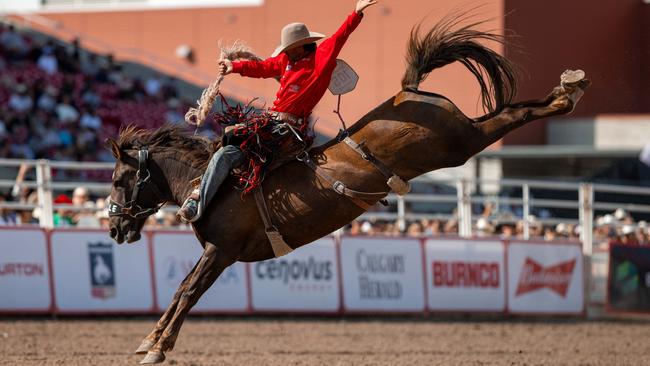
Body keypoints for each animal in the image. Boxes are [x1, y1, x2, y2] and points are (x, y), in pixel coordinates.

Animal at [105, 13, 588, 364]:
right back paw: (568, 88)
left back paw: (568, 92)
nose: (112, 228)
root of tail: (409, 91)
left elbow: (186, 291)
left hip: (460, 143)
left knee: (510, 115)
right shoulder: (217, 254)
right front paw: (149, 341)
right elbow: (182, 290)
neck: (211, 182)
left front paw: (156, 348)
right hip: (462, 138)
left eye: (117, 179)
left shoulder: (221, 251)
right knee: (513, 109)